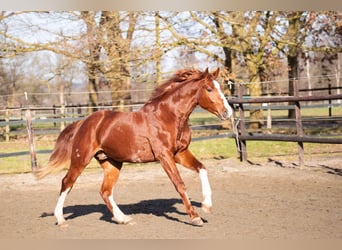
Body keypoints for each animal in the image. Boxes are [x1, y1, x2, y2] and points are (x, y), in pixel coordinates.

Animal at [35, 68, 232, 227]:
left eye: (220, 88)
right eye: (209, 89)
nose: (228, 112)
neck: (169, 116)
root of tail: (83, 122)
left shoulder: (180, 153)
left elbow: (202, 168)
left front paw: (207, 206)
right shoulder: (164, 156)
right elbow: (180, 184)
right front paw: (195, 217)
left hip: (112, 163)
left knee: (105, 191)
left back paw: (123, 218)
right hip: (80, 159)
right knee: (67, 182)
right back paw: (61, 219)